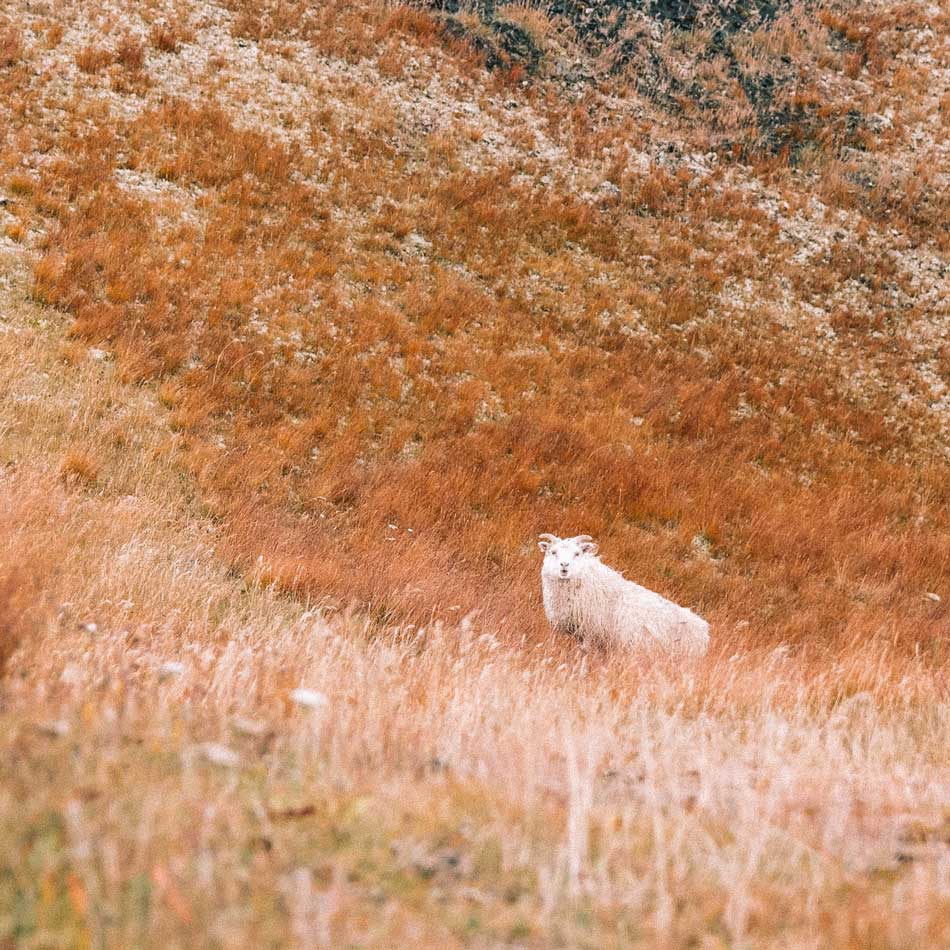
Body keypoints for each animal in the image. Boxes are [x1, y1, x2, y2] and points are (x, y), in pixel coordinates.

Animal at [540, 532, 712, 660]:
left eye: (577, 554)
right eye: (553, 552)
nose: (564, 566)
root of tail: (704, 629)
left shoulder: (591, 632)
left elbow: (584, 654)